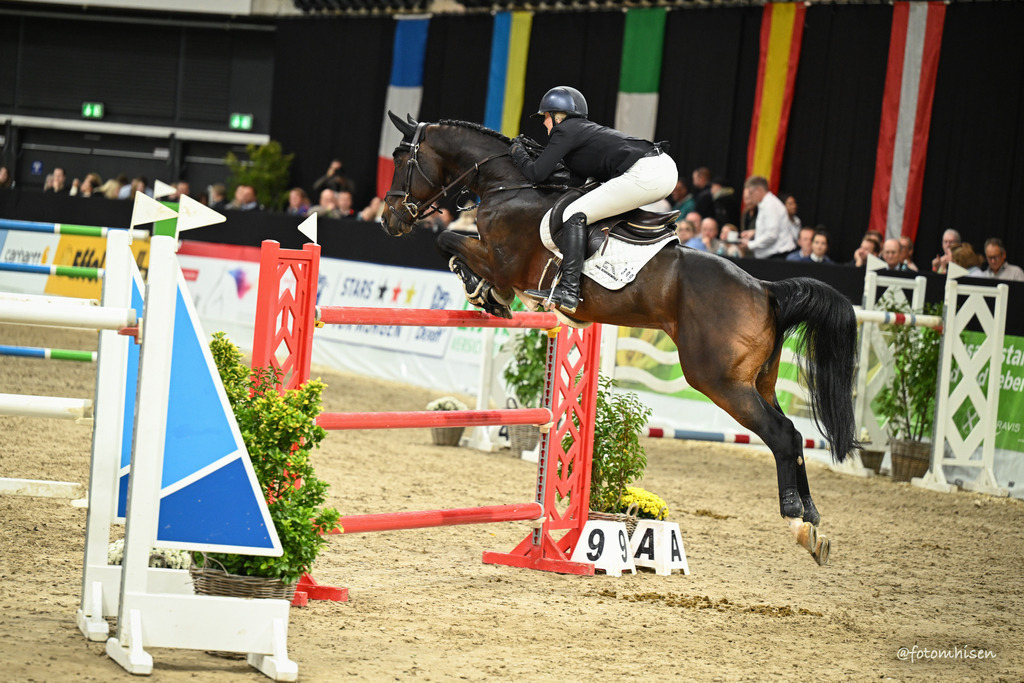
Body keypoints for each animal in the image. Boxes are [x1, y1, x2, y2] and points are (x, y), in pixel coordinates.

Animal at [380, 113, 859, 566]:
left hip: (718, 381)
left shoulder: (502, 260)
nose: (390, 220)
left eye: (402, 160)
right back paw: (813, 522)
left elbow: (449, 240)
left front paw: (486, 294)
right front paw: (485, 294)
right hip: (759, 381)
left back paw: (796, 517)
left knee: (780, 435)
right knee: (793, 433)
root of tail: (766, 288)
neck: (509, 183)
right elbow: (452, 244)